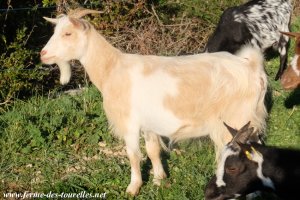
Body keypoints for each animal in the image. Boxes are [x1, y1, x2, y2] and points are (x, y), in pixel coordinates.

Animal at [39, 9, 268, 195]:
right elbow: (152, 150)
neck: (112, 69)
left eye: (68, 33)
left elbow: (133, 155)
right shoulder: (149, 124)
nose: (43, 54)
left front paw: (133, 188)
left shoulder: (129, 123)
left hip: (236, 119)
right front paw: (159, 180)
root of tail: (252, 68)